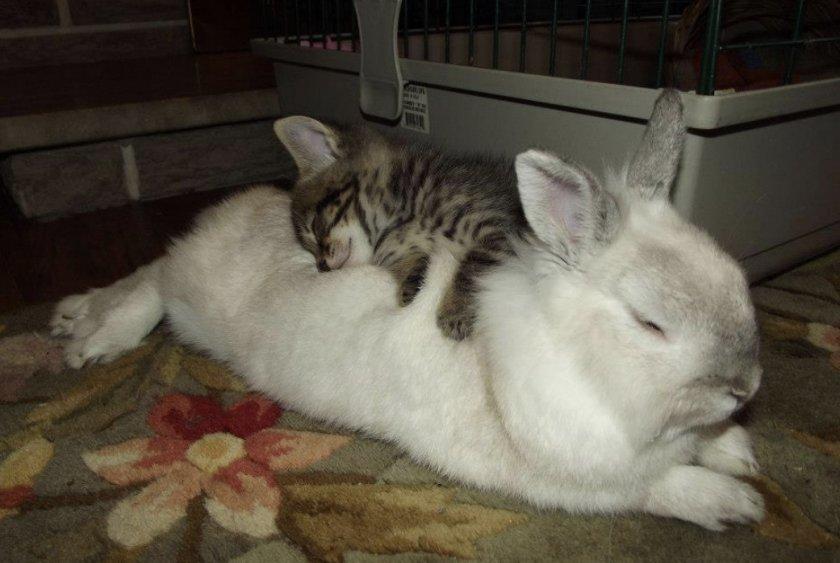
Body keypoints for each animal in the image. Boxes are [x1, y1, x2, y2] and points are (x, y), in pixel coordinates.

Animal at [51, 89, 763, 530]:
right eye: (650, 324)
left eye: (738, 279)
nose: (747, 387)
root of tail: (234, 212)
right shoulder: (566, 478)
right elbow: (650, 488)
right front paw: (736, 503)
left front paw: (738, 452)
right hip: (193, 294)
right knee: (154, 275)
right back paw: (94, 336)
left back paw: (73, 316)